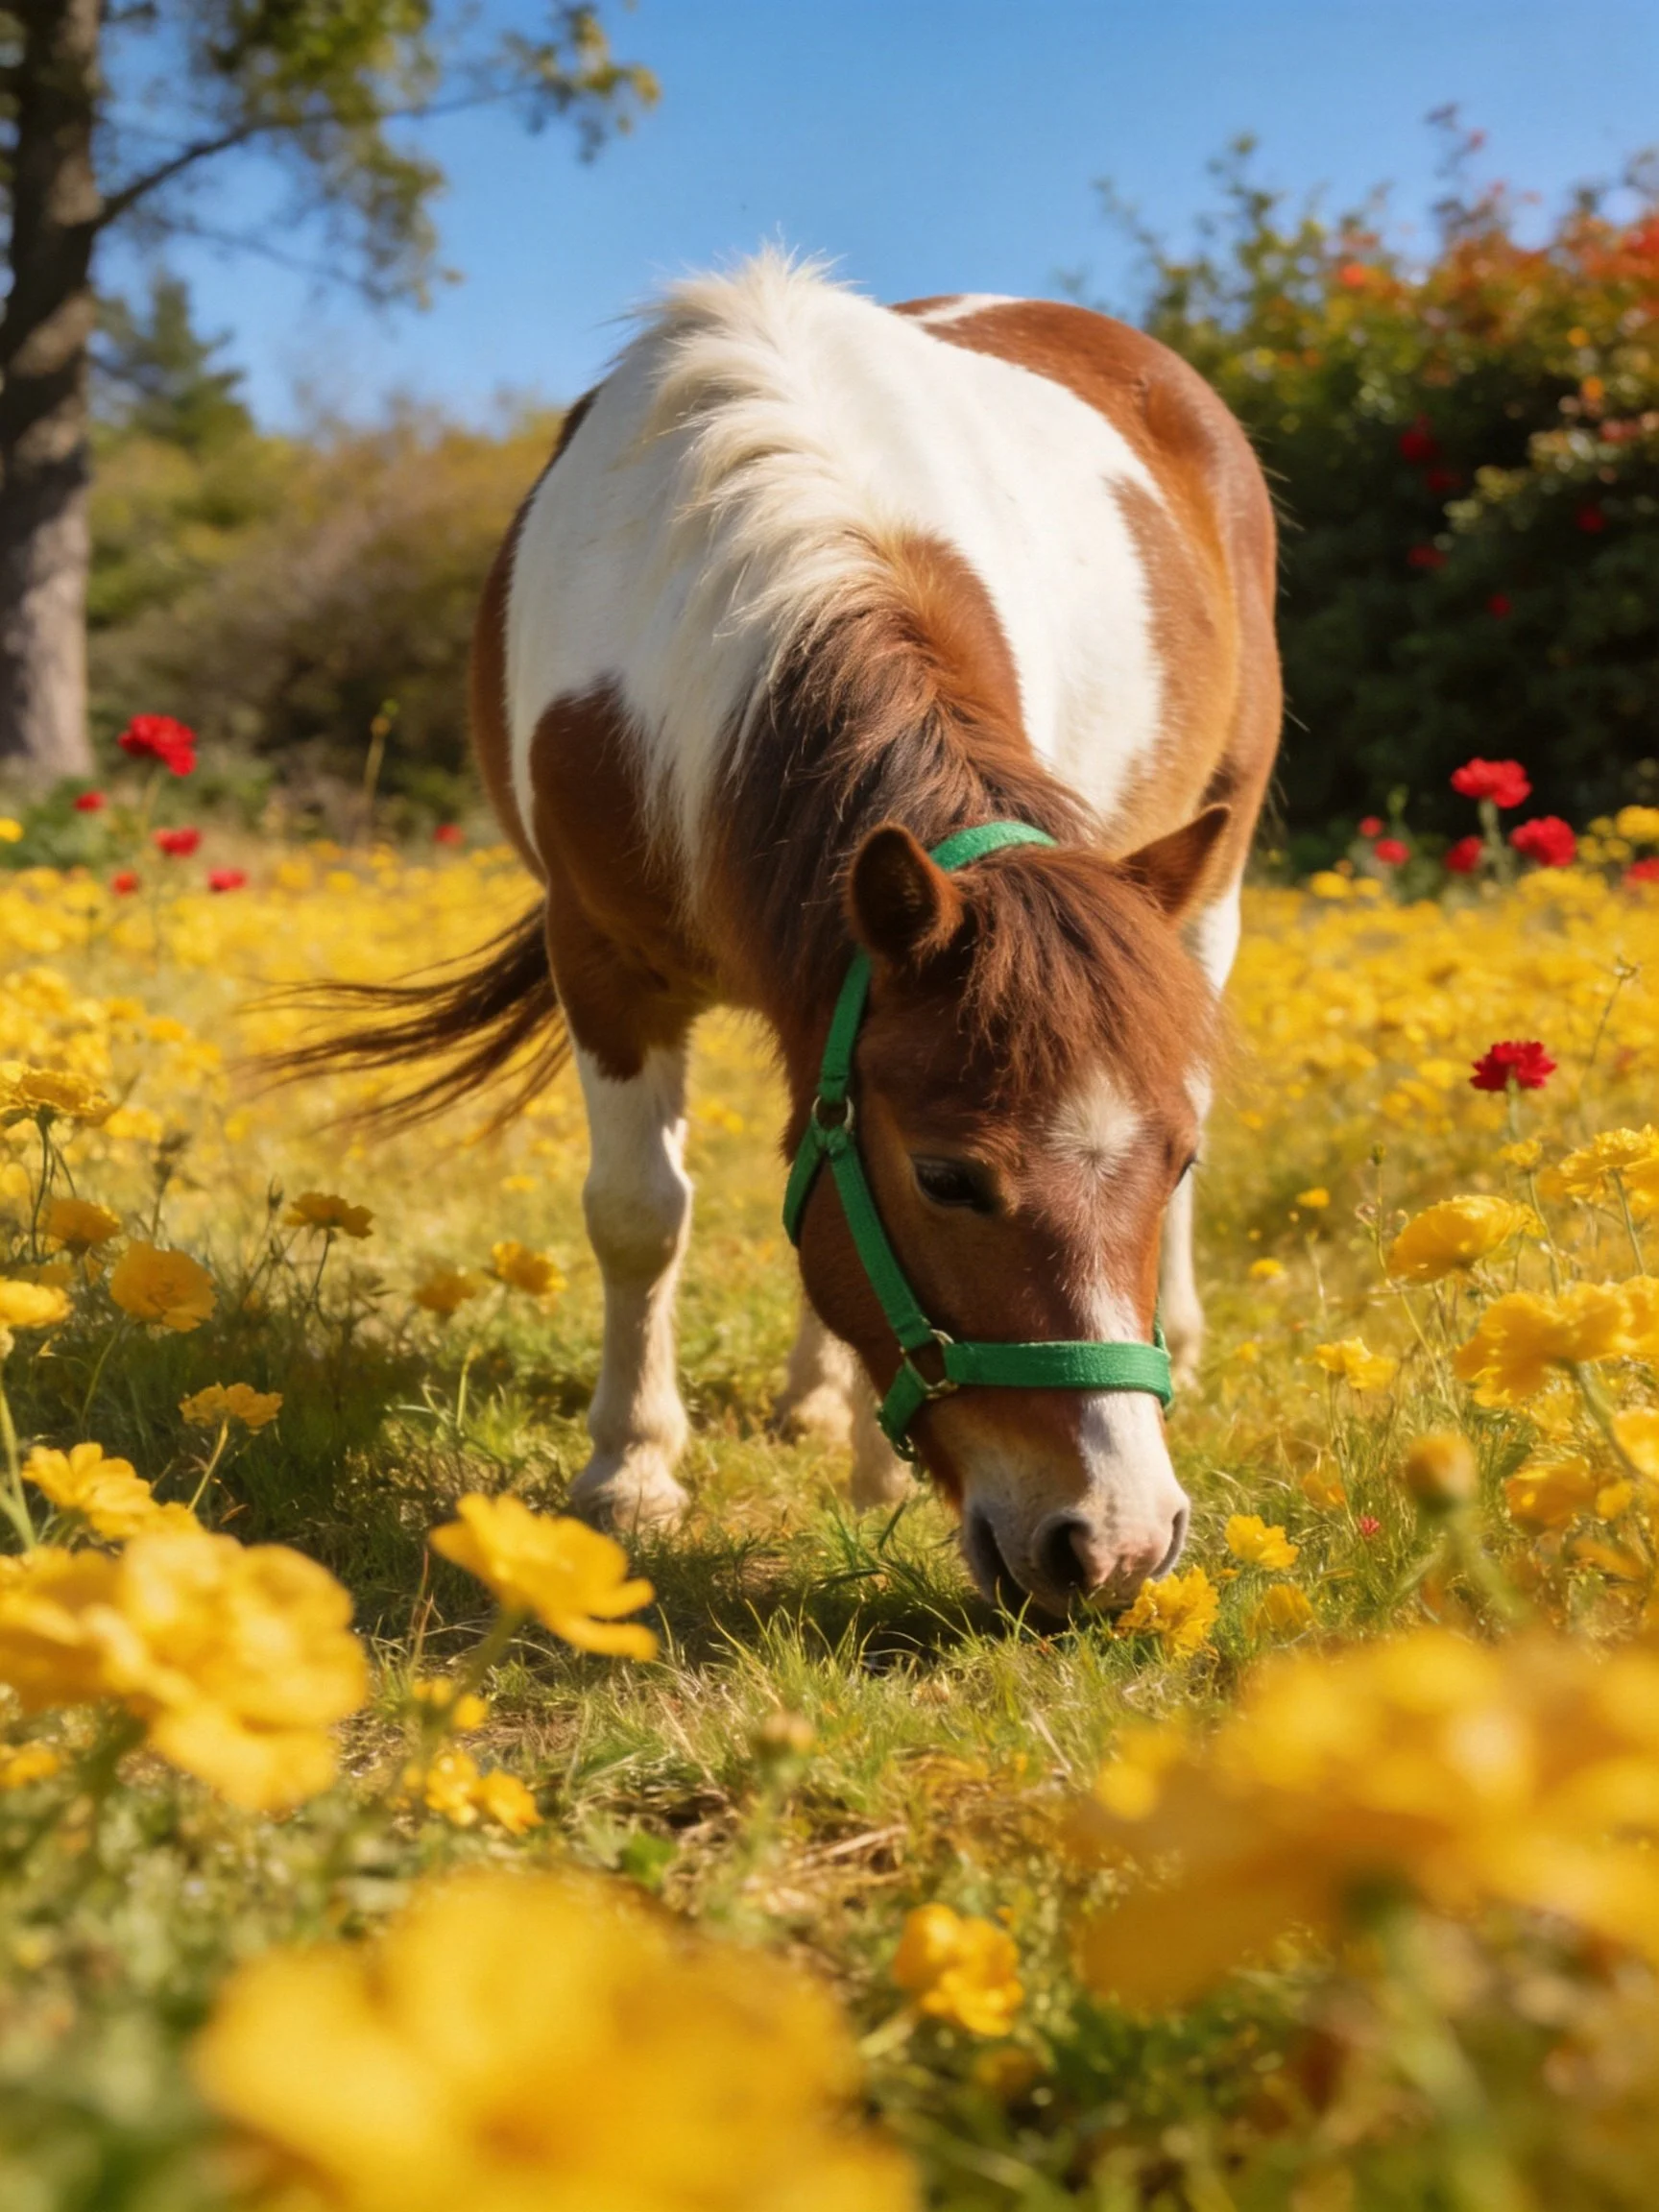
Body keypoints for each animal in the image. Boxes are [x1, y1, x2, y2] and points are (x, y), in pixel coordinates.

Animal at [297, 252, 1280, 1619]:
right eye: (946, 1178)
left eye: (1175, 1164)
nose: (1116, 1546)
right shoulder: (610, 963)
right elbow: (640, 1212)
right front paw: (633, 1473)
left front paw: (863, 1460)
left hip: (1206, 891)